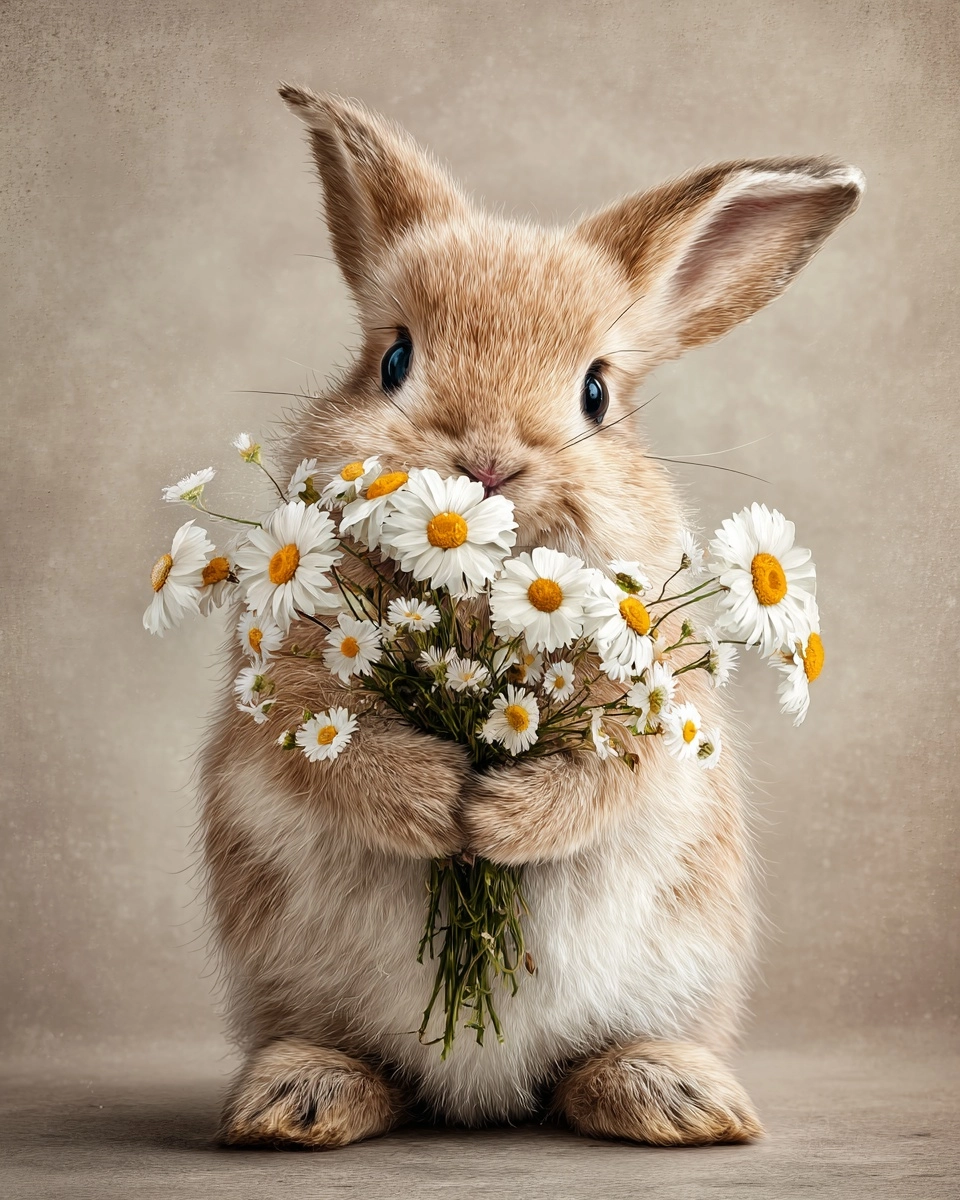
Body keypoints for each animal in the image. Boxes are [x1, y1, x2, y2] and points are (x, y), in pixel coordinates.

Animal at [201, 84, 863, 1149]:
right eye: (394, 359)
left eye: (596, 392)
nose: (487, 461)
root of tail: (481, 1097)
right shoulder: (291, 676)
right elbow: (336, 750)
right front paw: (442, 807)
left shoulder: (653, 700)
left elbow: (605, 774)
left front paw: (495, 821)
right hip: (288, 981)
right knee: (358, 1060)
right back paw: (297, 1100)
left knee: (587, 1069)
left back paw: (680, 1100)